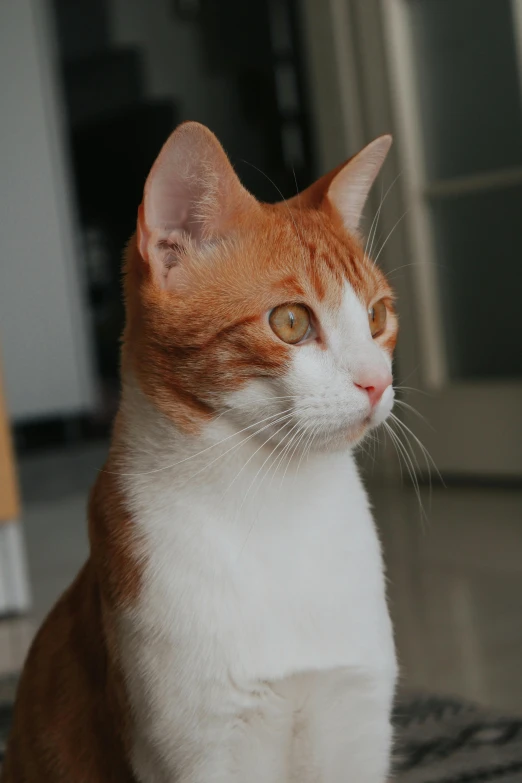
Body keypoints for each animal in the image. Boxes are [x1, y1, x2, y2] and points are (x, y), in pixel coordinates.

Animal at [3, 122, 394, 783]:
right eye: (291, 322)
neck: (282, 513)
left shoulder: (356, 722)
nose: (377, 381)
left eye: (377, 317)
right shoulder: (202, 749)